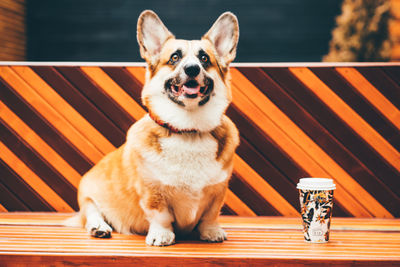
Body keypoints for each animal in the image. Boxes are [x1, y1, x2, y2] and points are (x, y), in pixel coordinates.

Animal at [69, 9, 239, 248]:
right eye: (175, 58)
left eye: (204, 58)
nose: (192, 68)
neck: (188, 130)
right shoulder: (153, 192)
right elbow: (161, 217)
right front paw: (161, 235)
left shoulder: (218, 192)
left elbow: (210, 215)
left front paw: (212, 232)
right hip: (88, 195)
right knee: (92, 213)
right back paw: (99, 228)